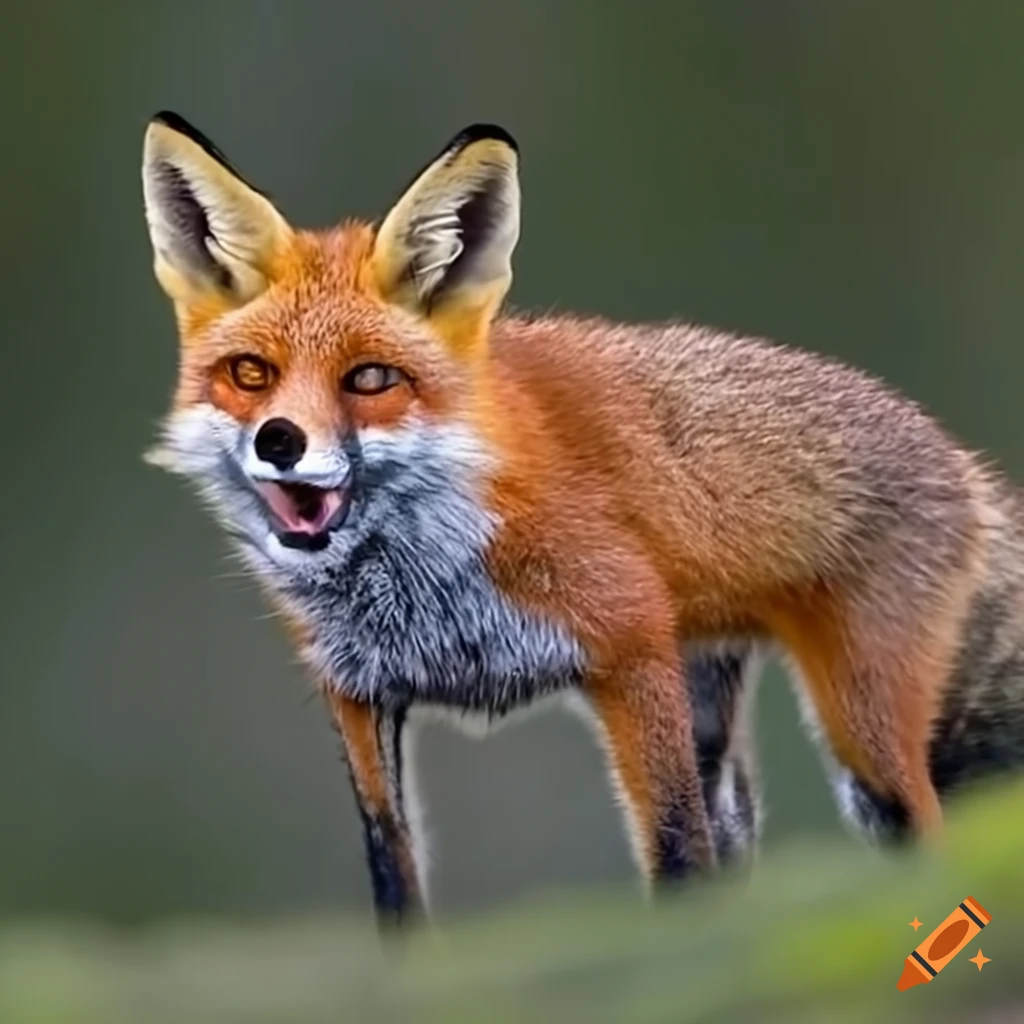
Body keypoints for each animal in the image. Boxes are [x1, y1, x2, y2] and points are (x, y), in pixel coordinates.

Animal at [140, 111, 1024, 930]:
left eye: (370, 379)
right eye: (250, 374)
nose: (279, 440)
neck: (428, 582)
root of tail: (963, 461)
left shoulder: (632, 656)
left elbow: (675, 854)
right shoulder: (358, 695)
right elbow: (397, 892)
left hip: (865, 746)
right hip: (727, 719)